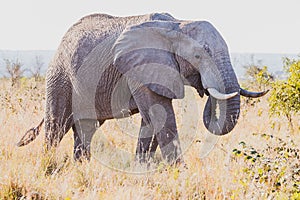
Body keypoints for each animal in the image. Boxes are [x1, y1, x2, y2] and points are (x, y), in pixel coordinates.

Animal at [17, 13, 268, 165]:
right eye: (199, 55)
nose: (205, 89)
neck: (177, 24)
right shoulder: (139, 68)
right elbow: (160, 115)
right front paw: (179, 173)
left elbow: (152, 119)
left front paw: (142, 169)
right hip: (59, 77)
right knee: (56, 126)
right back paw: (48, 166)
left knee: (86, 127)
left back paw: (82, 166)